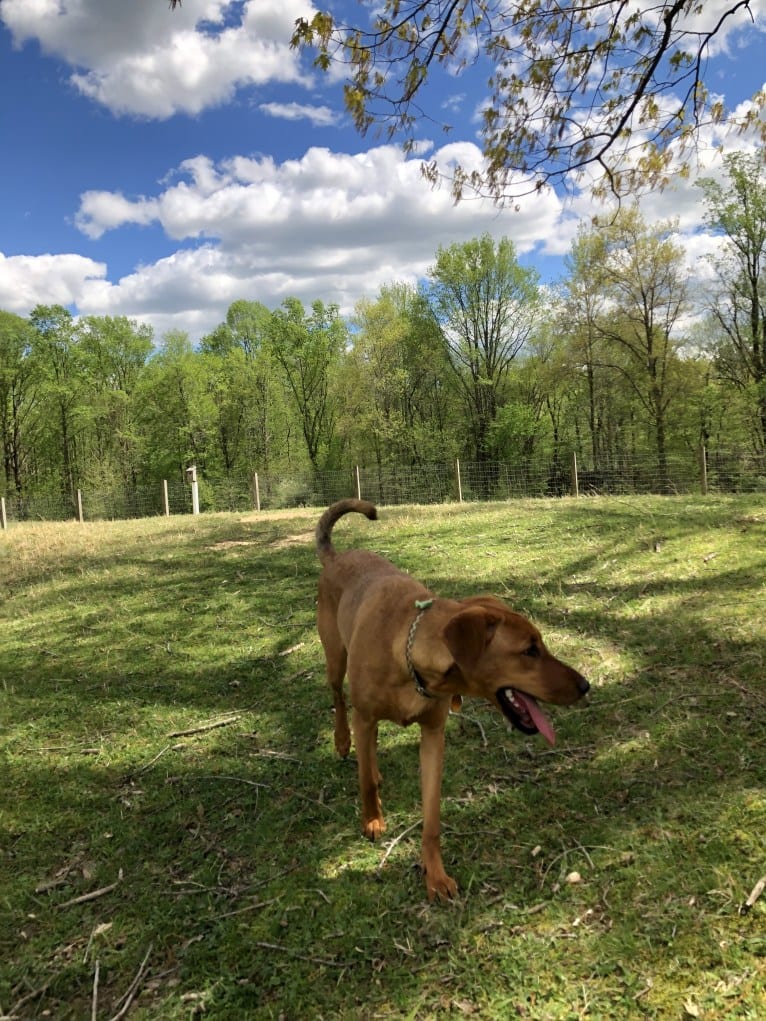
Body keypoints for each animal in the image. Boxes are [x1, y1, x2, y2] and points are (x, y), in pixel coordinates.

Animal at [314, 498, 592, 898]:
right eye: (530, 650)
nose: (585, 685)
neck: (410, 652)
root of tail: (337, 557)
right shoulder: (365, 713)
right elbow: (364, 779)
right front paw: (372, 820)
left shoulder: (433, 735)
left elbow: (431, 818)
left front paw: (435, 874)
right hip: (335, 658)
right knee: (340, 702)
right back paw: (343, 742)